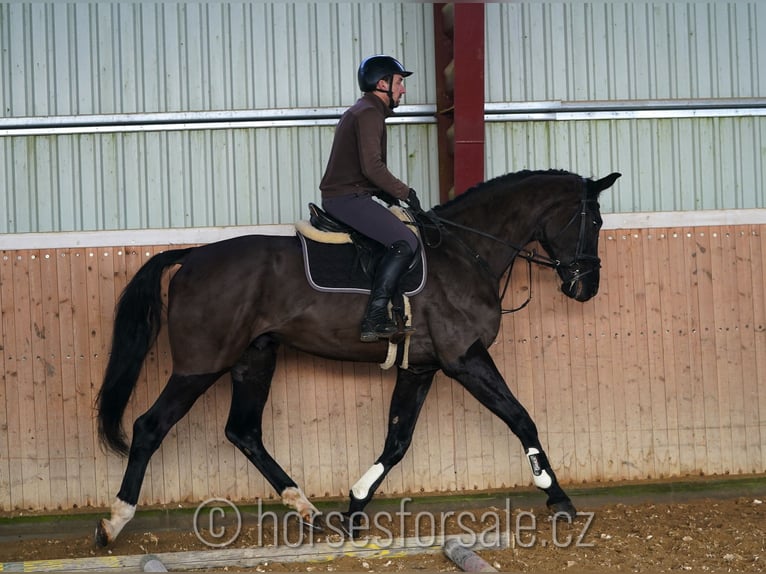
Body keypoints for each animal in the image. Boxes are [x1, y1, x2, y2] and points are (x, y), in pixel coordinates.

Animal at [96, 168, 624, 548]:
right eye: (595, 221)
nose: (587, 288)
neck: (464, 252)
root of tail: (191, 256)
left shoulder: (421, 367)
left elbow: (397, 441)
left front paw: (354, 507)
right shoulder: (465, 359)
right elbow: (521, 418)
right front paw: (558, 497)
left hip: (254, 360)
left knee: (243, 432)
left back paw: (307, 510)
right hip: (200, 365)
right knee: (150, 426)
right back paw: (114, 522)